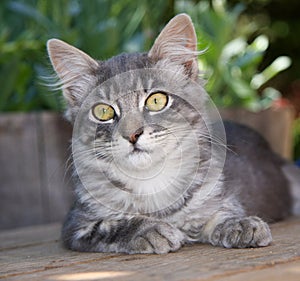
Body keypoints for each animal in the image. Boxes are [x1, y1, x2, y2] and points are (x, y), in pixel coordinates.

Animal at [47, 13, 300, 254]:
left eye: (156, 101)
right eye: (103, 111)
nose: (132, 134)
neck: (151, 181)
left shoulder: (220, 196)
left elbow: (222, 213)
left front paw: (241, 225)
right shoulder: (77, 223)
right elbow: (113, 225)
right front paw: (149, 231)